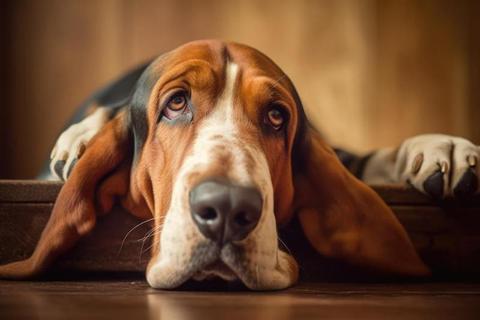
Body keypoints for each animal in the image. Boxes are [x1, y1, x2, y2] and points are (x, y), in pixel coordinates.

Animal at [0, 40, 480, 290]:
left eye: (276, 116)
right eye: (176, 103)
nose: (229, 209)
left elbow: (369, 156)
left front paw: (440, 148)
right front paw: (83, 136)